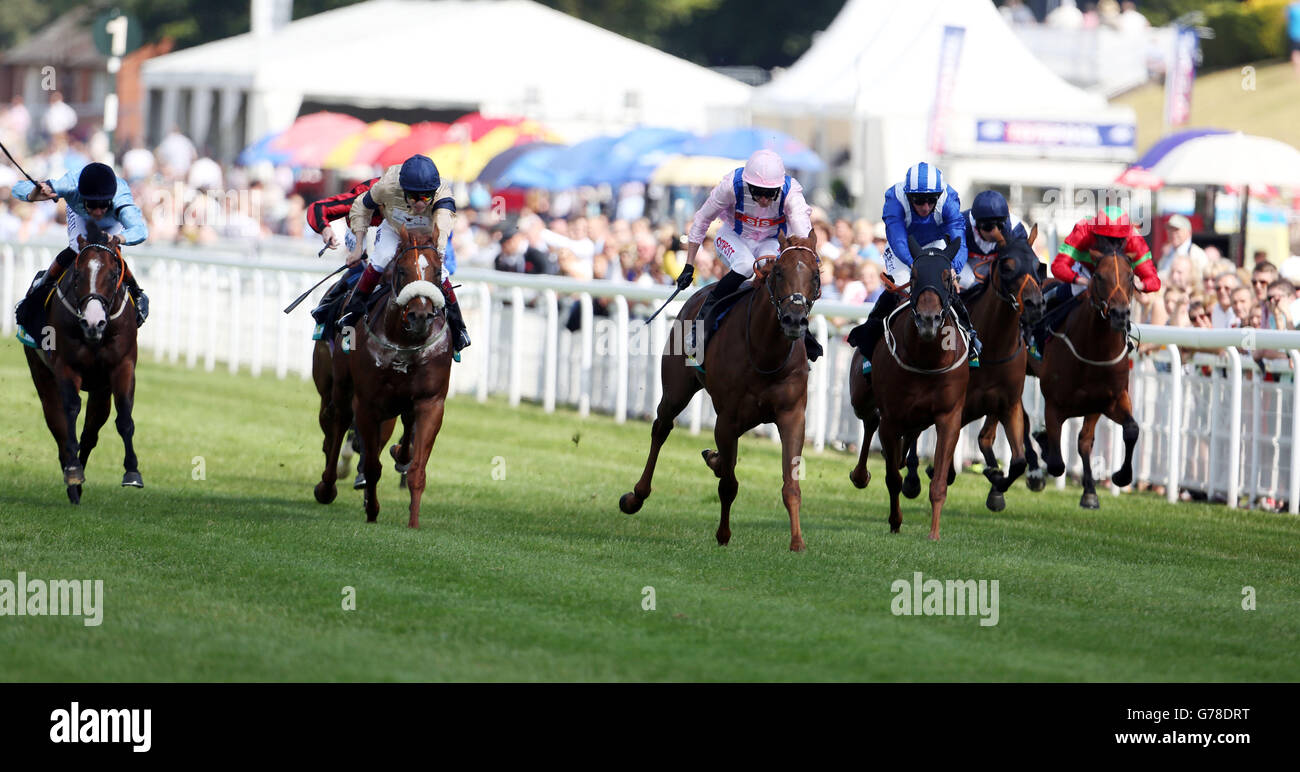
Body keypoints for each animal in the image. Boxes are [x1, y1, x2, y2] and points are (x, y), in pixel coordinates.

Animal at [23, 231, 144, 501]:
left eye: (113, 275)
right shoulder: (66, 366)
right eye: (78, 275)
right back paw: (72, 476)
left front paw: (132, 472)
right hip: (41, 372)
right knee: (57, 424)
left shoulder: (122, 366)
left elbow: (124, 417)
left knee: (90, 433)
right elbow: (69, 413)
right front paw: (73, 472)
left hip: (100, 389)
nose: (93, 322)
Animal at [312, 222, 454, 522]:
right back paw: (327, 485)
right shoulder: (367, 402)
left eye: (438, 273)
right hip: (337, 386)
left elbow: (415, 466)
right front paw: (372, 509)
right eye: (402, 271)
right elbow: (370, 461)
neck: (405, 342)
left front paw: (413, 520)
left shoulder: (430, 401)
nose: (420, 316)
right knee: (337, 423)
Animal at [616, 231, 816, 551]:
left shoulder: (792, 414)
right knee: (661, 427)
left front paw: (797, 542)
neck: (765, 353)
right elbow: (729, 485)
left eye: (816, 275)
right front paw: (723, 534)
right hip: (677, 389)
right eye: (779, 272)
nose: (794, 320)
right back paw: (636, 496)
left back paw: (713, 458)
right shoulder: (727, 418)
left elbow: (791, 484)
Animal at [847, 237, 972, 538]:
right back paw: (861, 475)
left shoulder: (949, 416)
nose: (928, 319)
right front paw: (895, 521)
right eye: (914, 276)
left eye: (946, 277)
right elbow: (892, 477)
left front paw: (934, 533)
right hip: (861, 399)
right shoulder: (891, 419)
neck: (926, 359)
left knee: (911, 434)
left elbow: (939, 482)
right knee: (870, 421)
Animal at [1024, 239, 1138, 504]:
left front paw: (1112, 481)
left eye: (1131, 276)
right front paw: (1044, 443)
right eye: (1098, 276)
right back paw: (1033, 472)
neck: (1094, 351)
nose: (1119, 314)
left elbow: (1124, 432)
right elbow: (1056, 462)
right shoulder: (1054, 404)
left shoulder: (1105, 401)